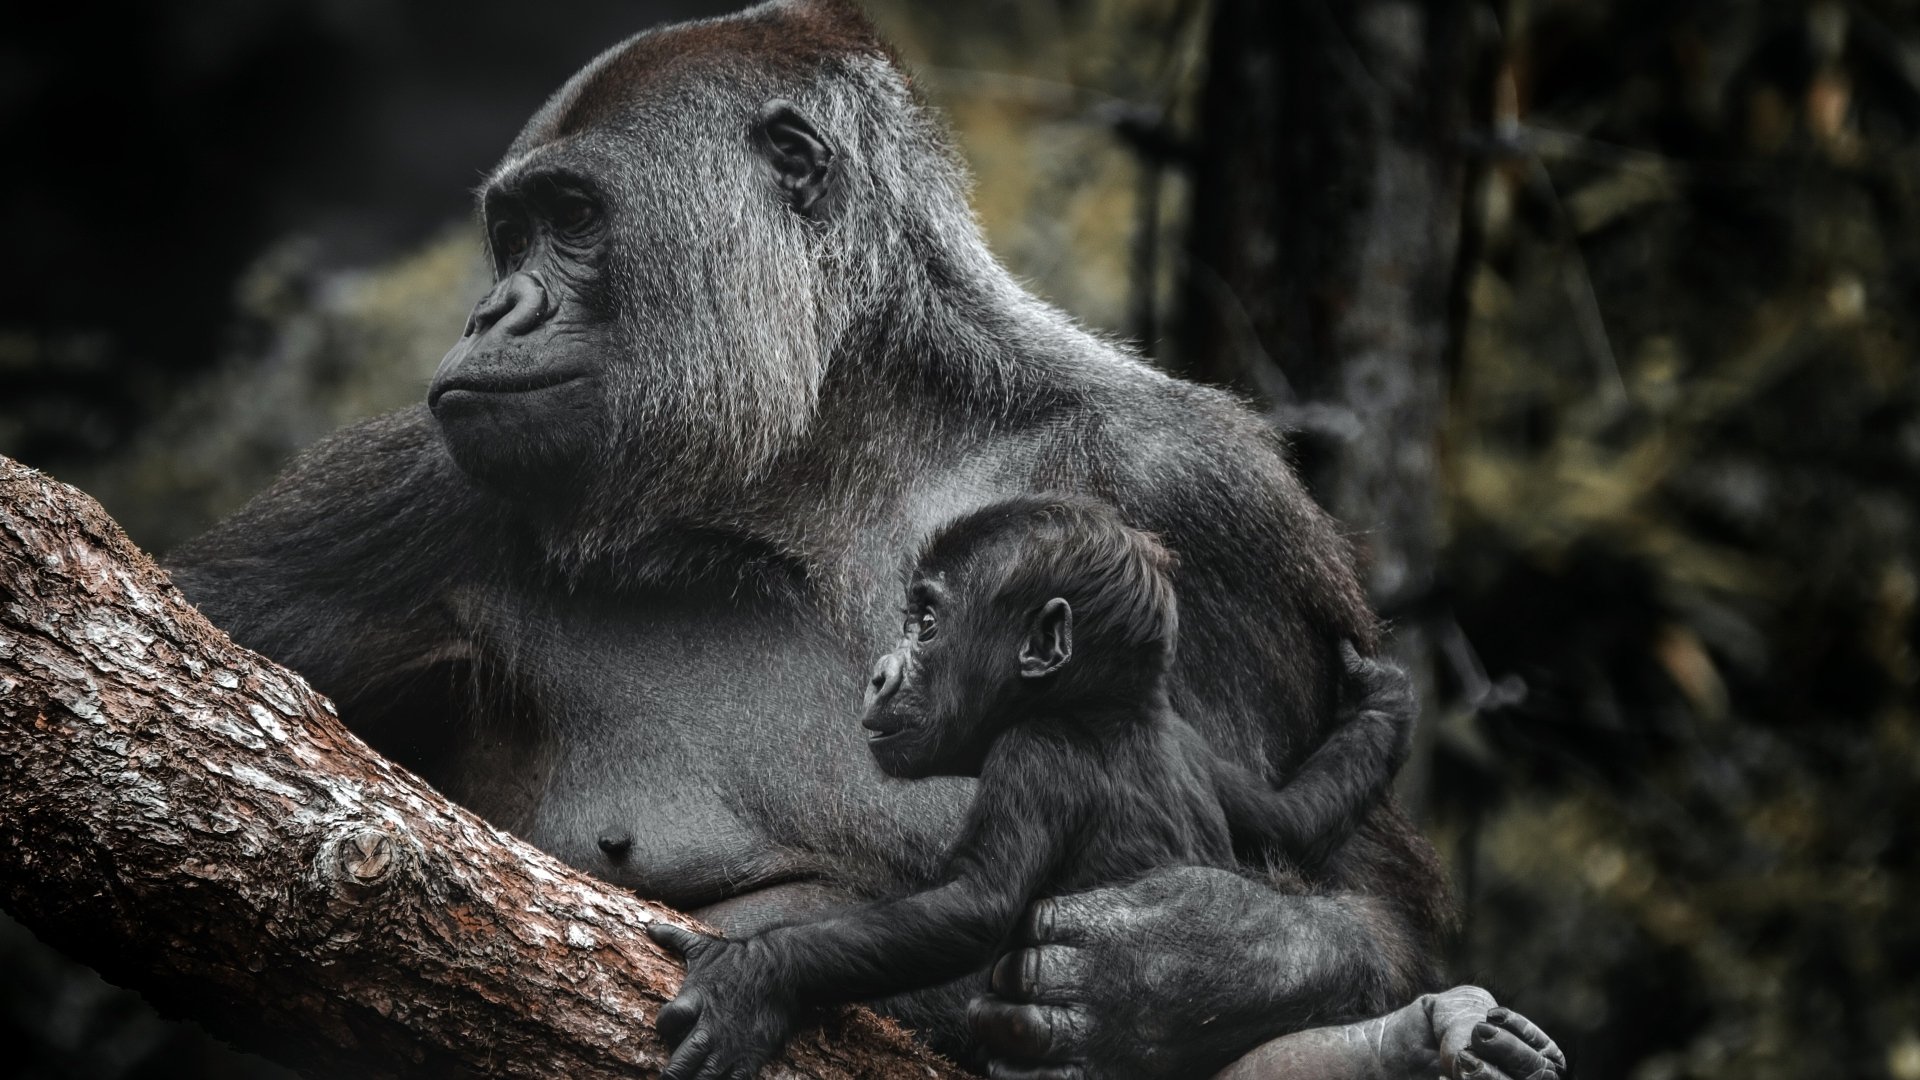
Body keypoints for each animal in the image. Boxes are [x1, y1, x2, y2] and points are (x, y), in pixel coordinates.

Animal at [645, 493, 1420, 1079]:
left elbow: (970, 906)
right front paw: (1378, 704)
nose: (879, 674)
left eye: (927, 625)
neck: (1099, 706)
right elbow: (1292, 819)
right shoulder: (1194, 742)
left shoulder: (1032, 756)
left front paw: (756, 977)